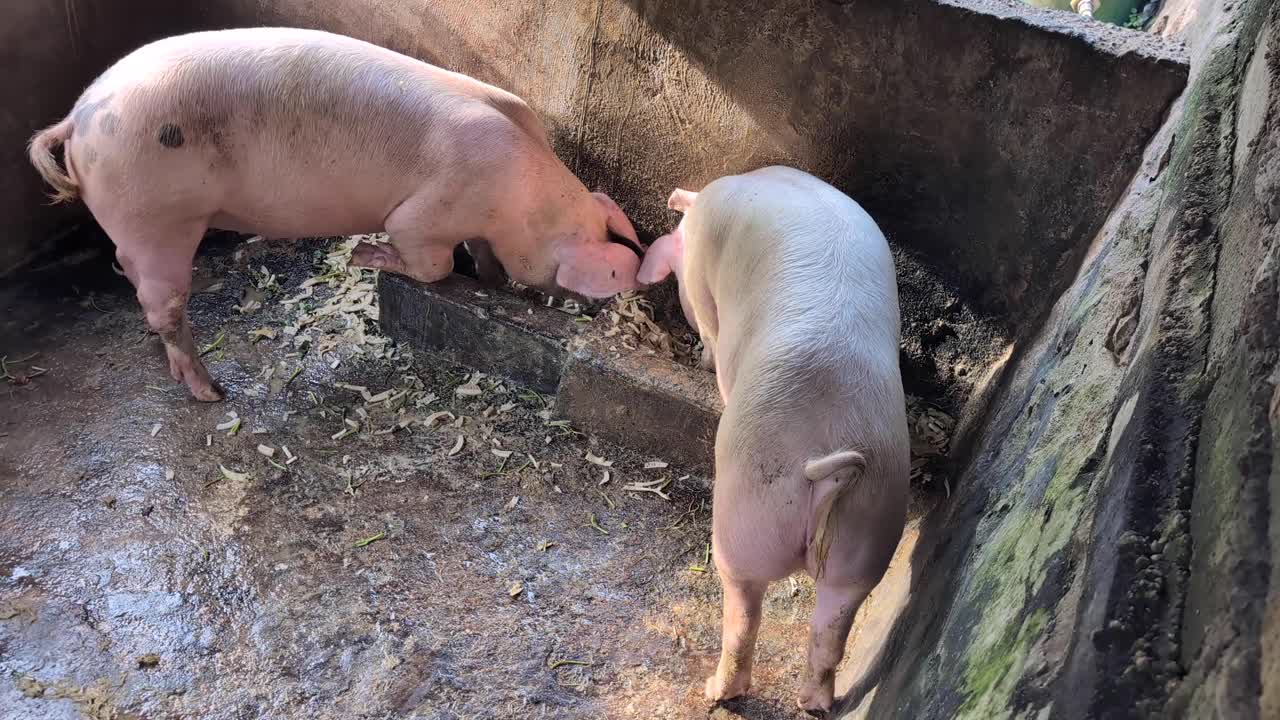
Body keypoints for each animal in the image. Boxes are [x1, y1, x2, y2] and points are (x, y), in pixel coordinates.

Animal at [28, 27, 644, 402]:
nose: (586, 301)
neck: (518, 197)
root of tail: (77, 120)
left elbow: (480, 257)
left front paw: (493, 284)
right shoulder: (426, 212)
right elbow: (433, 264)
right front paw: (366, 255)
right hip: (154, 216)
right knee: (164, 305)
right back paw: (210, 391)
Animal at [637, 166, 909, 713]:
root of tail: (828, 461)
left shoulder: (702, 287)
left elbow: (711, 334)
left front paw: (702, 362)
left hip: (746, 517)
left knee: (742, 616)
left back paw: (717, 693)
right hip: (870, 531)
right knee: (830, 631)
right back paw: (816, 704)